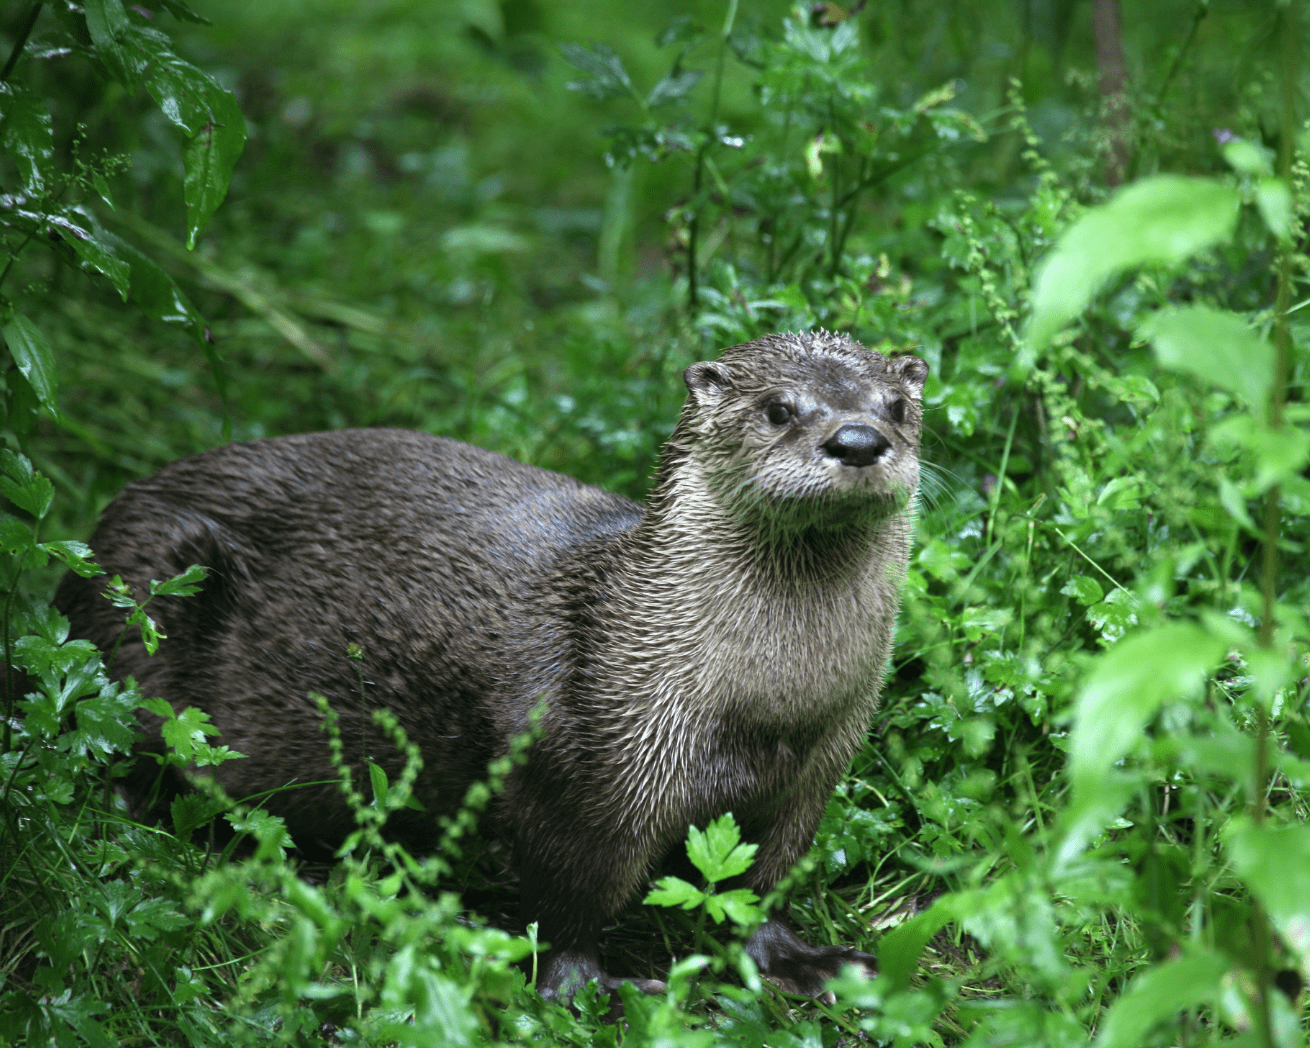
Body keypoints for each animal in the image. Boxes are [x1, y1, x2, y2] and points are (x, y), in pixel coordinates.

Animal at [53, 327, 932, 1000]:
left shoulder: (813, 772)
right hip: (145, 590)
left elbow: (760, 890)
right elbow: (567, 896)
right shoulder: (585, 762)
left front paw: (805, 961)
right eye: (778, 408)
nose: (859, 441)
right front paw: (592, 990)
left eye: (896, 407)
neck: (764, 709)